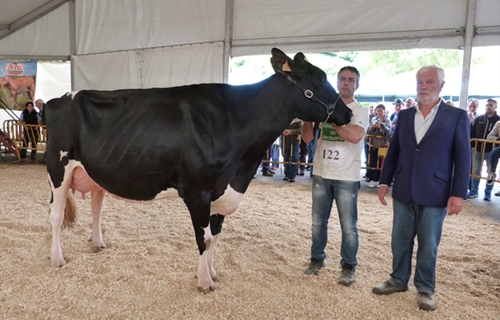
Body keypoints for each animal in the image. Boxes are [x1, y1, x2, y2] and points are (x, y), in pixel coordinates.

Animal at [46, 48, 352, 292]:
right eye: (320, 78)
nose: (348, 113)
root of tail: (59, 99)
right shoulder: (197, 192)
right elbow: (203, 238)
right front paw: (204, 282)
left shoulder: (221, 192)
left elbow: (215, 237)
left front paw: (212, 273)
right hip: (57, 168)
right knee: (56, 216)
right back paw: (57, 258)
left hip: (93, 172)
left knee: (96, 205)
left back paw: (97, 243)